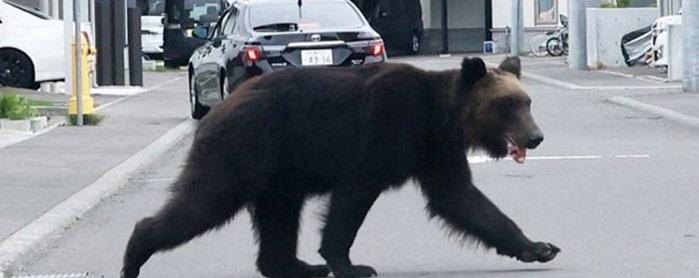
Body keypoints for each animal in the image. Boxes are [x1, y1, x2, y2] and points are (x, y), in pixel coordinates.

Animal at [119, 55, 556, 276]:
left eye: (527, 101)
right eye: (507, 104)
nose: (535, 136)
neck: (438, 117)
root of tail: (218, 107)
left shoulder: (434, 151)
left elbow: (462, 199)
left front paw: (540, 247)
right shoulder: (384, 132)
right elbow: (351, 203)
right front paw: (352, 264)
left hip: (280, 173)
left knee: (279, 216)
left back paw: (295, 266)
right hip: (244, 148)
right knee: (204, 200)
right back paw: (135, 253)